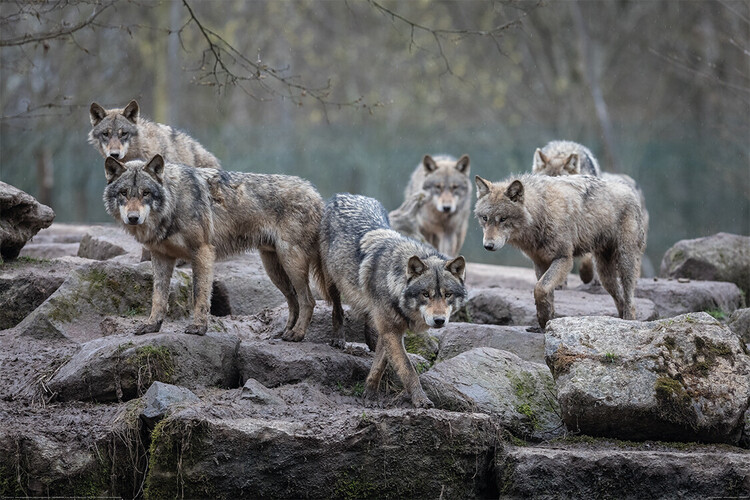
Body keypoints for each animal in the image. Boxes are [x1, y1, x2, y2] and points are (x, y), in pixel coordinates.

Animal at [102, 154, 323, 339]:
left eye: (146, 193)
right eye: (124, 193)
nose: (133, 218)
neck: (174, 202)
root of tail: (316, 193)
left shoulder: (203, 251)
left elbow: (199, 294)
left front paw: (199, 328)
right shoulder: (161, 256)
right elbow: (158, 297)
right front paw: (152, 325)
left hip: (290, 262)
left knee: (308, 300)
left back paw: (297, 334)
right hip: (273, 268)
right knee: (294, 300)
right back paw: (285, 332)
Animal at [320, 193, 467, 408]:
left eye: (447, 294)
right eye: (426, 294)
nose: (439, 321)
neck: (394, 282)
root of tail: (345, 195)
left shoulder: (390, 331)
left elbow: (380, 365)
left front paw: (370, 394)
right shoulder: (391, 331)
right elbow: (408, 369)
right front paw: (420, 399)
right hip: (332, 281)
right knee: (337, 309)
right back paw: (338, 338)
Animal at [474, 173, 645, 329]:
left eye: (503, 219)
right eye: (485, 218)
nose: (488, 245)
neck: (542, 212)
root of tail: (630, 190)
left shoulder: (564, 259)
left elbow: (540, 288)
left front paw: (544, 319)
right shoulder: (540, 263)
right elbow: (545, 292)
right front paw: (546, 321)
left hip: (624, 262)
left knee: (630, 299)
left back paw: (629, 322)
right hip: (605, 275)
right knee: (620, 299)